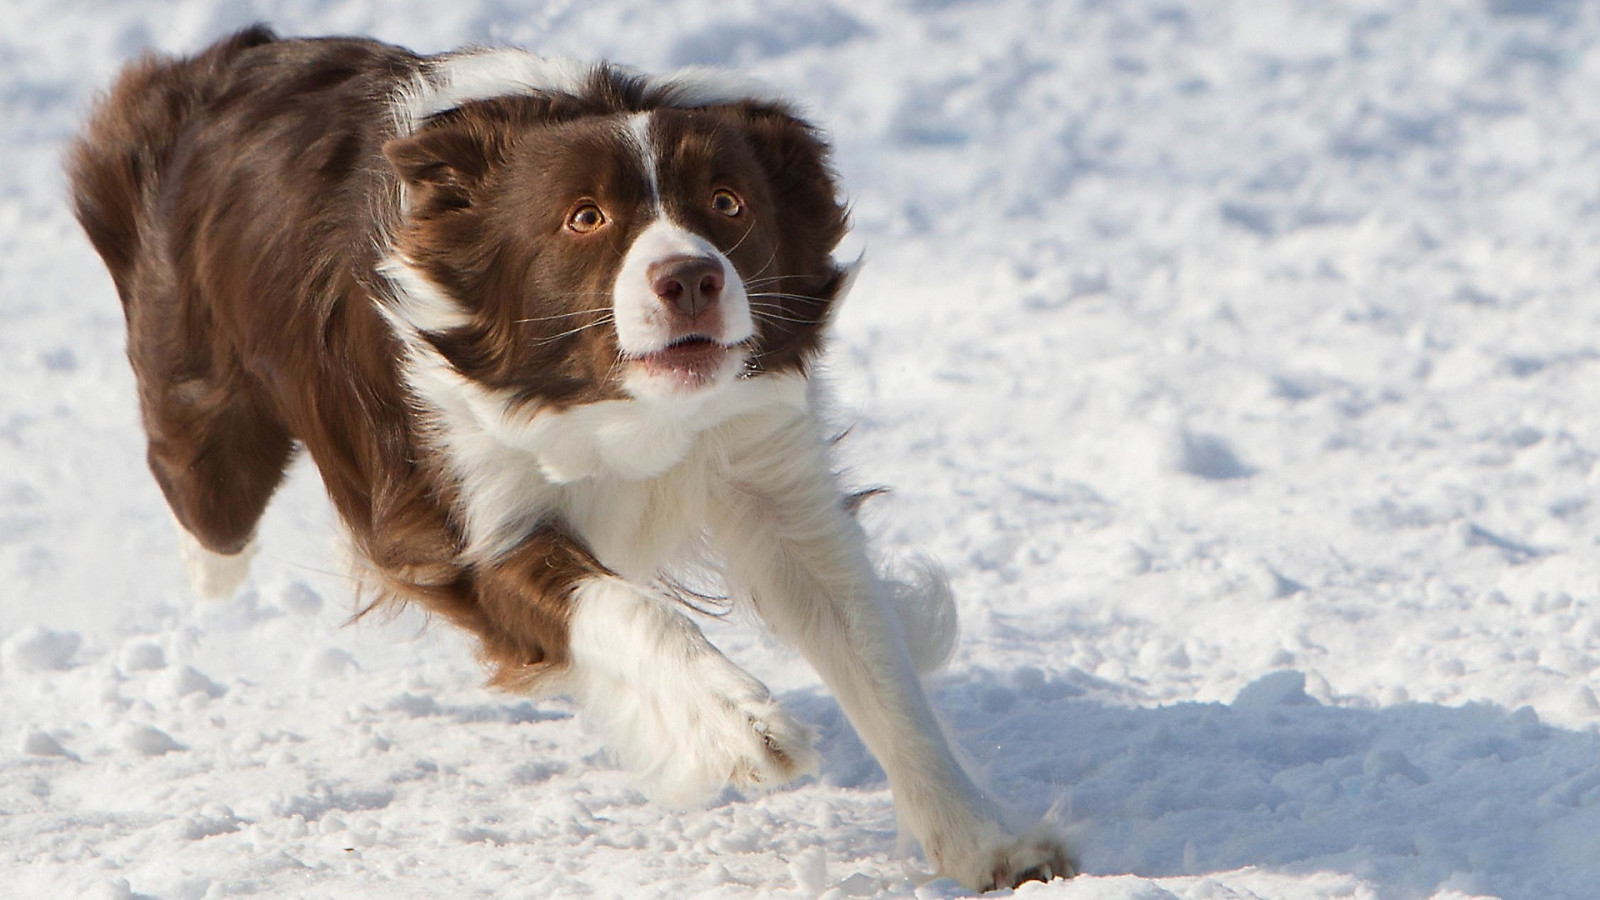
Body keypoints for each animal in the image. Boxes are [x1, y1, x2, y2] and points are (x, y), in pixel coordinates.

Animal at [72, 24, 1075, 883]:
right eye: (584, 218)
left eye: (727, 204)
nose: (691, 278)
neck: (611, 406)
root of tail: (226, 60)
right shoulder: (470, 514)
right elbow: (627, 608)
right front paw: (741, 726)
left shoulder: (764, 465)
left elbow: (870, 654)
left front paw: (990, 844)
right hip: (207, 425)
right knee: (211, 514)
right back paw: (210, 575)